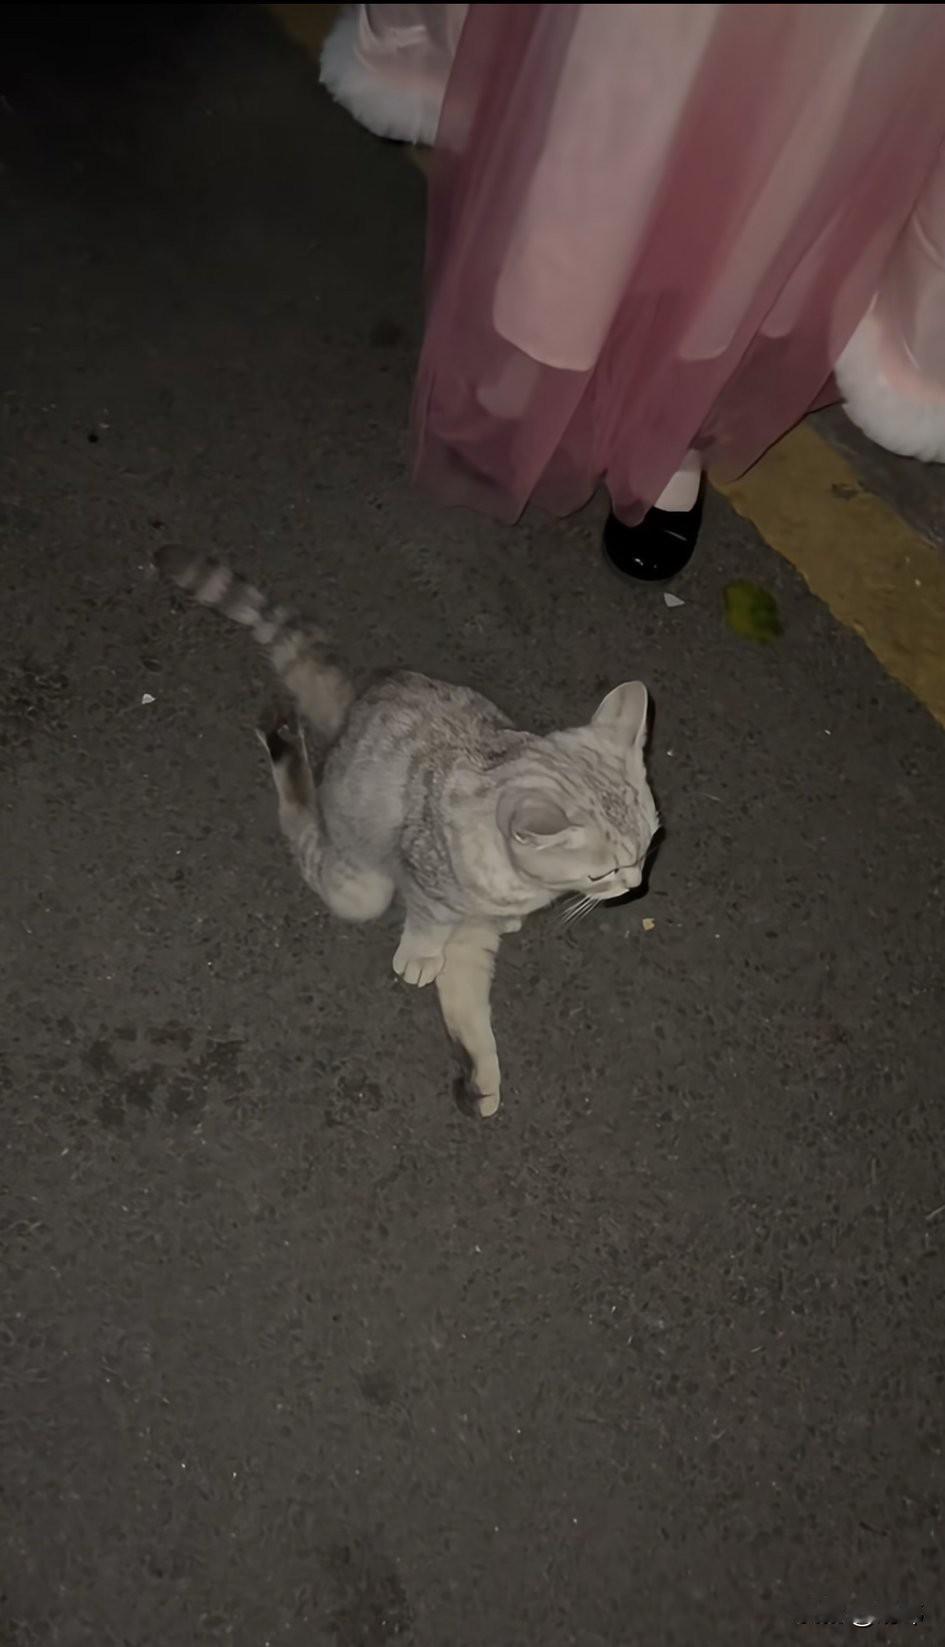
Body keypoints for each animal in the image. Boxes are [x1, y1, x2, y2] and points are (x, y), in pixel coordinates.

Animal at [155, 545, 659, 1117]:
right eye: (606, 872)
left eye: (648, 850)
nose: (636, 886)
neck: (524, 886)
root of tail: (355, 704)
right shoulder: (433, 892)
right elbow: (428, 930)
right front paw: (420, 955)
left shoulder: (475, 936)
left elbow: (469, 1010)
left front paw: (481, 1076)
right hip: (358, 882)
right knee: (304, 824)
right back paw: (282, 740)